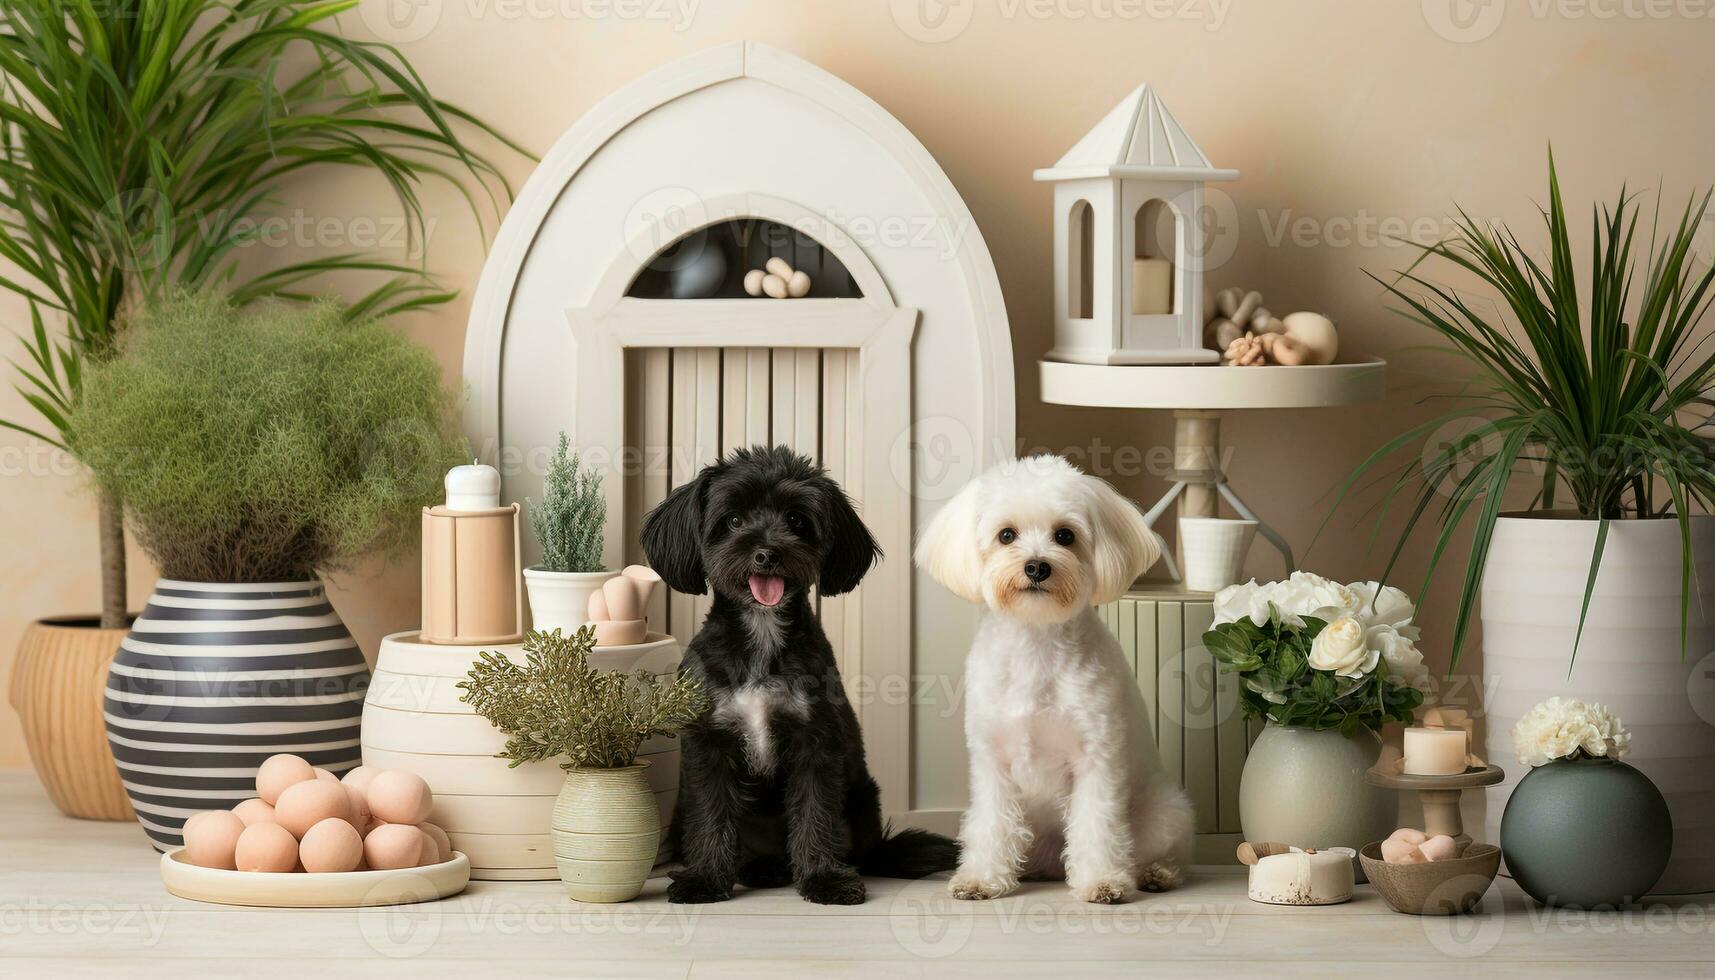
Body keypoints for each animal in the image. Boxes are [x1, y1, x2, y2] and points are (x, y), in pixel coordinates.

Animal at [644, 446, 967, 906]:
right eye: (734, 520)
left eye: (796, 520)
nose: (767, 553)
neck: (762, 634)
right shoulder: (709, 744)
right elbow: (711, 816)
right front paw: (704, 879)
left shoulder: (815, 741)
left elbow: (816, 816)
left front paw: (825, 880)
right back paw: (760, 868)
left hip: (862, 798)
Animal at [912, 456, 1193, 906]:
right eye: (1006, 535)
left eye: (1065, 535)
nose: (1037, 566)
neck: (1036, 643)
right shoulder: (993, 764)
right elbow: (991, 823)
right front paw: (981, 878)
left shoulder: (1095, 759)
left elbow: (1097, 824)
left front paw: (1102, 881)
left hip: (1166, 813)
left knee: (1163, 853)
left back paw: (1156, 873)